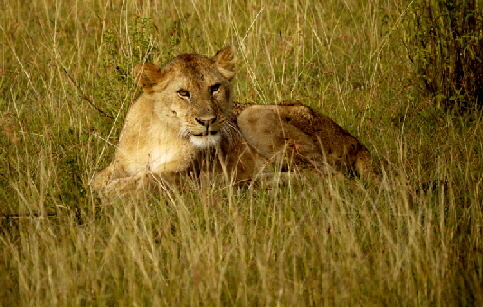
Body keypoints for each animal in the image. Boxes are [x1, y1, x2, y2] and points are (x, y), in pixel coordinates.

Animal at [91, 45, 376, 195]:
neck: (162, 131)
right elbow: (96, 178)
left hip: (254, 115)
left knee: (331, 179)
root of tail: (353, 139)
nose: (208, 120)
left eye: (214, 88)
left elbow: (148, 180)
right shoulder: (122, 163)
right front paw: (99, 188)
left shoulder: (186, 175)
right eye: (184, 93)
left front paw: (109, 194)